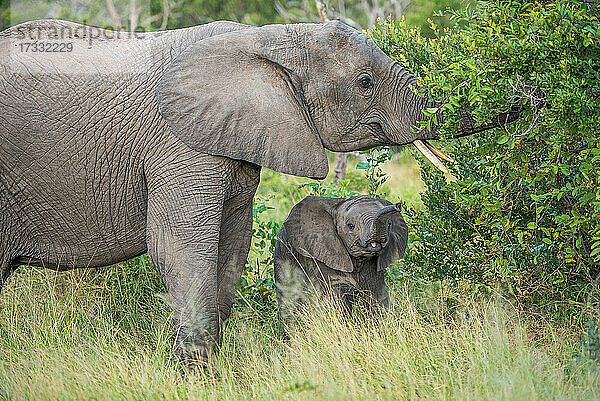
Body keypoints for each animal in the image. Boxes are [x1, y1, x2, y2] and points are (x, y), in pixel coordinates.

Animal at [276, 195, 408, 330]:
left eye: (389, 224)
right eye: (350, 226)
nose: (399, 205)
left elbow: (375, 294)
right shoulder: (322, 252)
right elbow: (337, 297)